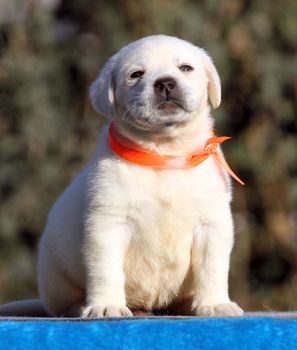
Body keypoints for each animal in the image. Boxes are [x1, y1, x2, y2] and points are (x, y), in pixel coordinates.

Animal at [1, 35, 243, 318]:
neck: (164, 152)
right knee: (62, 304)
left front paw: (214, 303)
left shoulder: (211, 224)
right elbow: (106, 270)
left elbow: (212, 268)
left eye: (186, 68)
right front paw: (107, 305)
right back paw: (81, 306)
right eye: (136, 74)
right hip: (56, 277)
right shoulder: (107, 223)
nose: (165, 82)